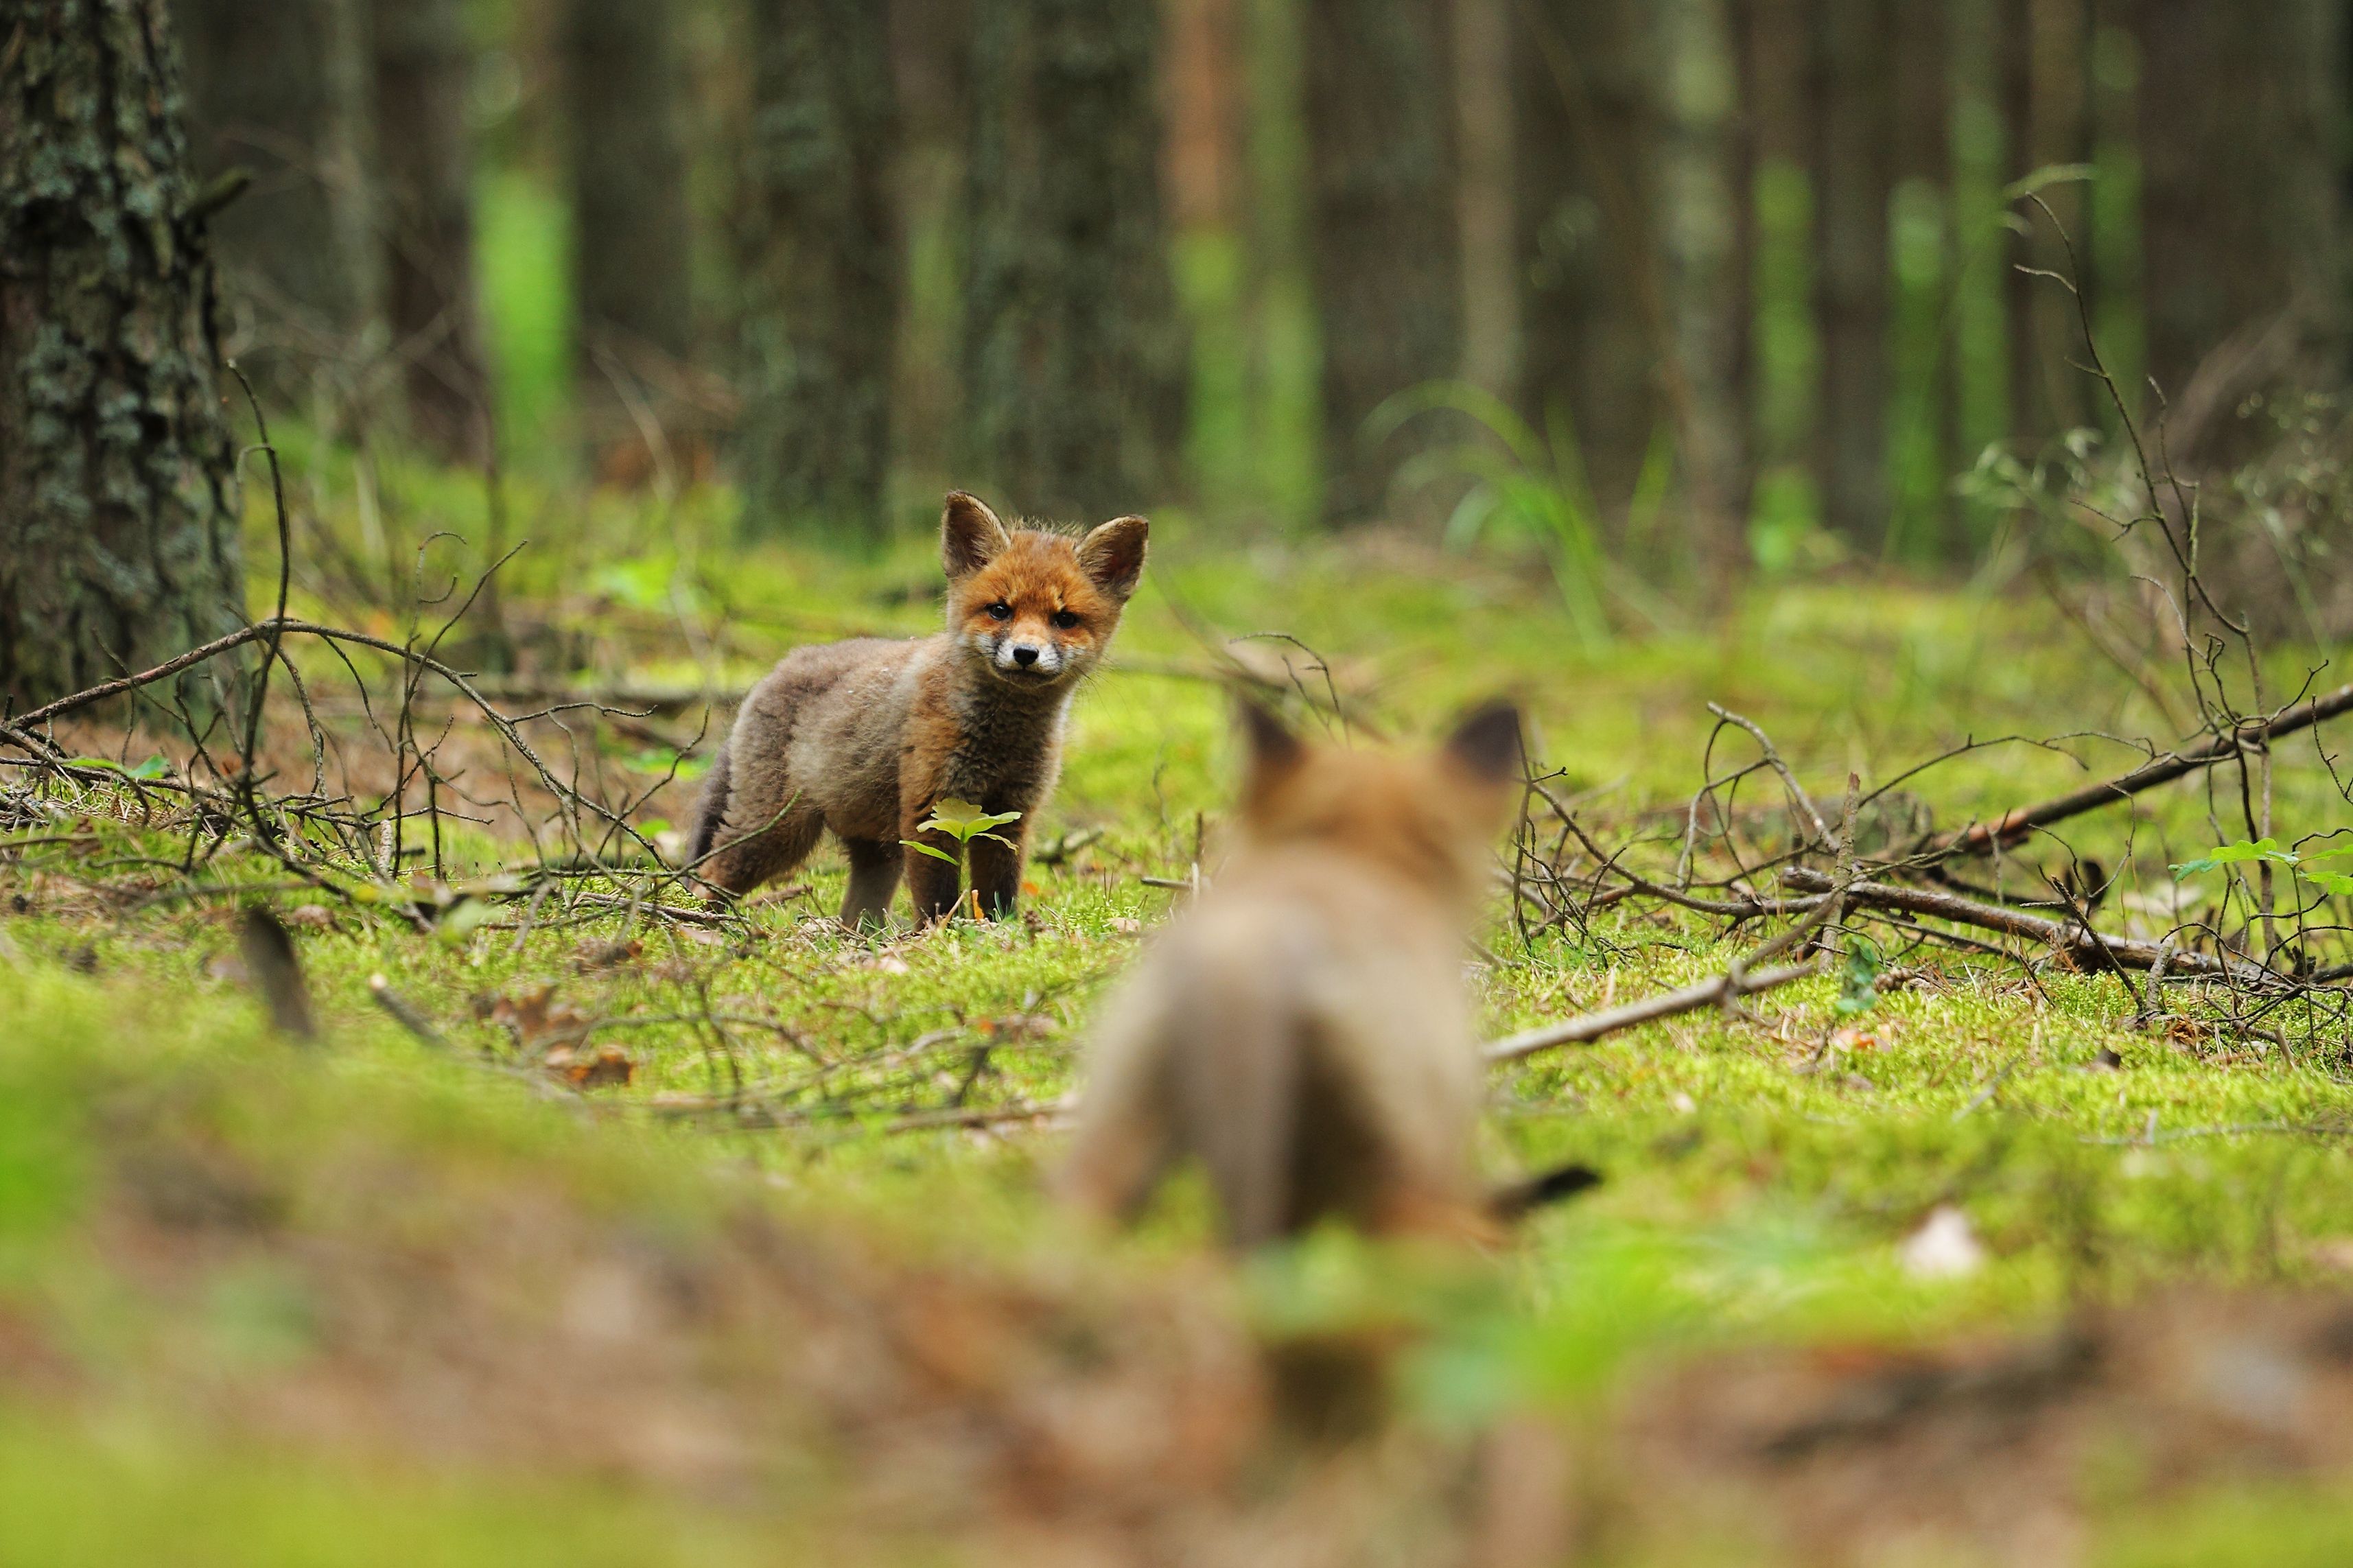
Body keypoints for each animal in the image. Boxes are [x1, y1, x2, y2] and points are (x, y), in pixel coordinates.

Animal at [686, 491, 1148, 924]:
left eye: (1064, 619)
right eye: (1000, 610)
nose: (1025, 654)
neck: (1003, 739)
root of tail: (776, 669)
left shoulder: (1009, 815)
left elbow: (999, 893)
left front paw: (999, 932)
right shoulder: (929, 808)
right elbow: (937, 896)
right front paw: (939, 936)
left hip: (877, 851)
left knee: (855, 914)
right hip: (777, 832)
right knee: (712, 873)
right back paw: (703, 922)